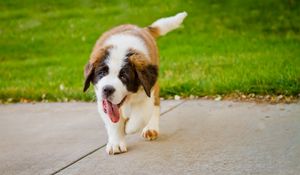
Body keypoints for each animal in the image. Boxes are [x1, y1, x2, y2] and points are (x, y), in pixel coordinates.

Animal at [83, 11, 188, 154]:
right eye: (101, 73)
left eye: (123, 76)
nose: (107, 89)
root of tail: (143, 29)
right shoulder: (102, 101)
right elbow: (113, 121)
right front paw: (116, 142)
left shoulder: (147, 91)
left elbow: (140, 117)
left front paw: (128, 127)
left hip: (153, 85)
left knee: (155, 105)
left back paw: (150, 127)